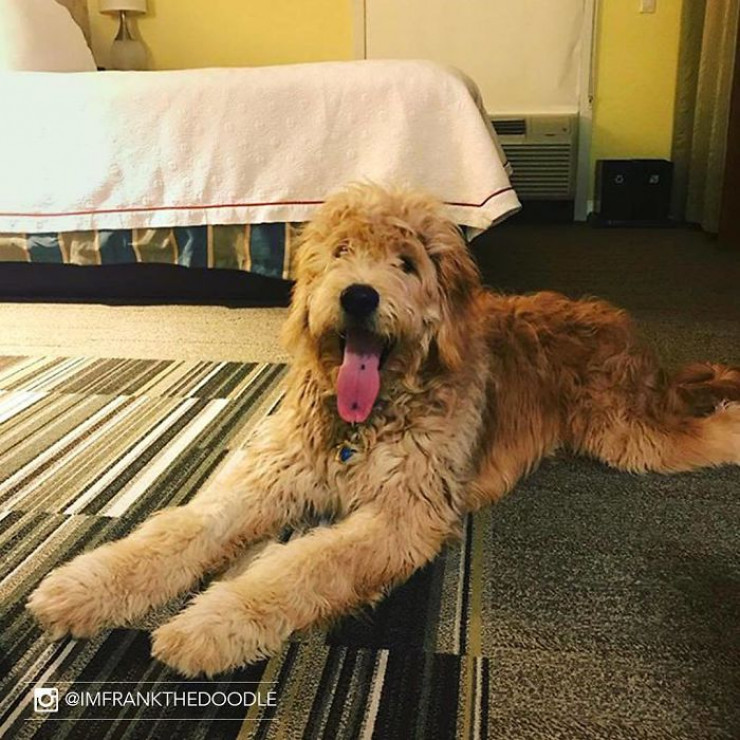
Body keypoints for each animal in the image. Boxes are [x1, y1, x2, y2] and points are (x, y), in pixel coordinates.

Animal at [27, 184, 740, 677]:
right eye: (341, 252)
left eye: (406, 262)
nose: (359, 296)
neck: (363, 424)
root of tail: (623, 328)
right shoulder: (266, 476)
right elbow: (181, 527)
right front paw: (85, 586)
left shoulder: (402, 513)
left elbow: (305, 563)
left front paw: (213, 624)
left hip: (628, 434)